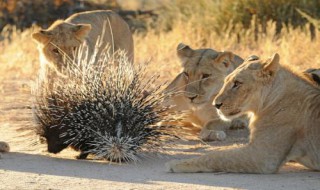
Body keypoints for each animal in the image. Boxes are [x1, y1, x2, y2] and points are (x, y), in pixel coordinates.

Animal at [166, 53, 320, 174]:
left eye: (237, 83)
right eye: (226, 81)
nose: (216, 105)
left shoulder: (263, 156)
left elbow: (217, 156)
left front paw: (178, 163)